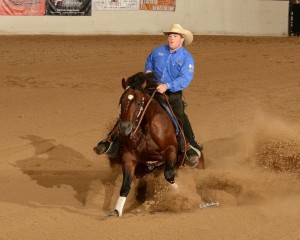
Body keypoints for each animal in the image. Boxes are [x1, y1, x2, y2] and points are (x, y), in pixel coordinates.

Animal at [106, 72, 203, 217]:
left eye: (139, 102)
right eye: (121, 101)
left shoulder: (171, 150)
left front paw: (181, 196)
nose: (124, 128)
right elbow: (125, 185)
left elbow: (169, 176)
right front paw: (117, 211)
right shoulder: (129, 157)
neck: (147, 129)